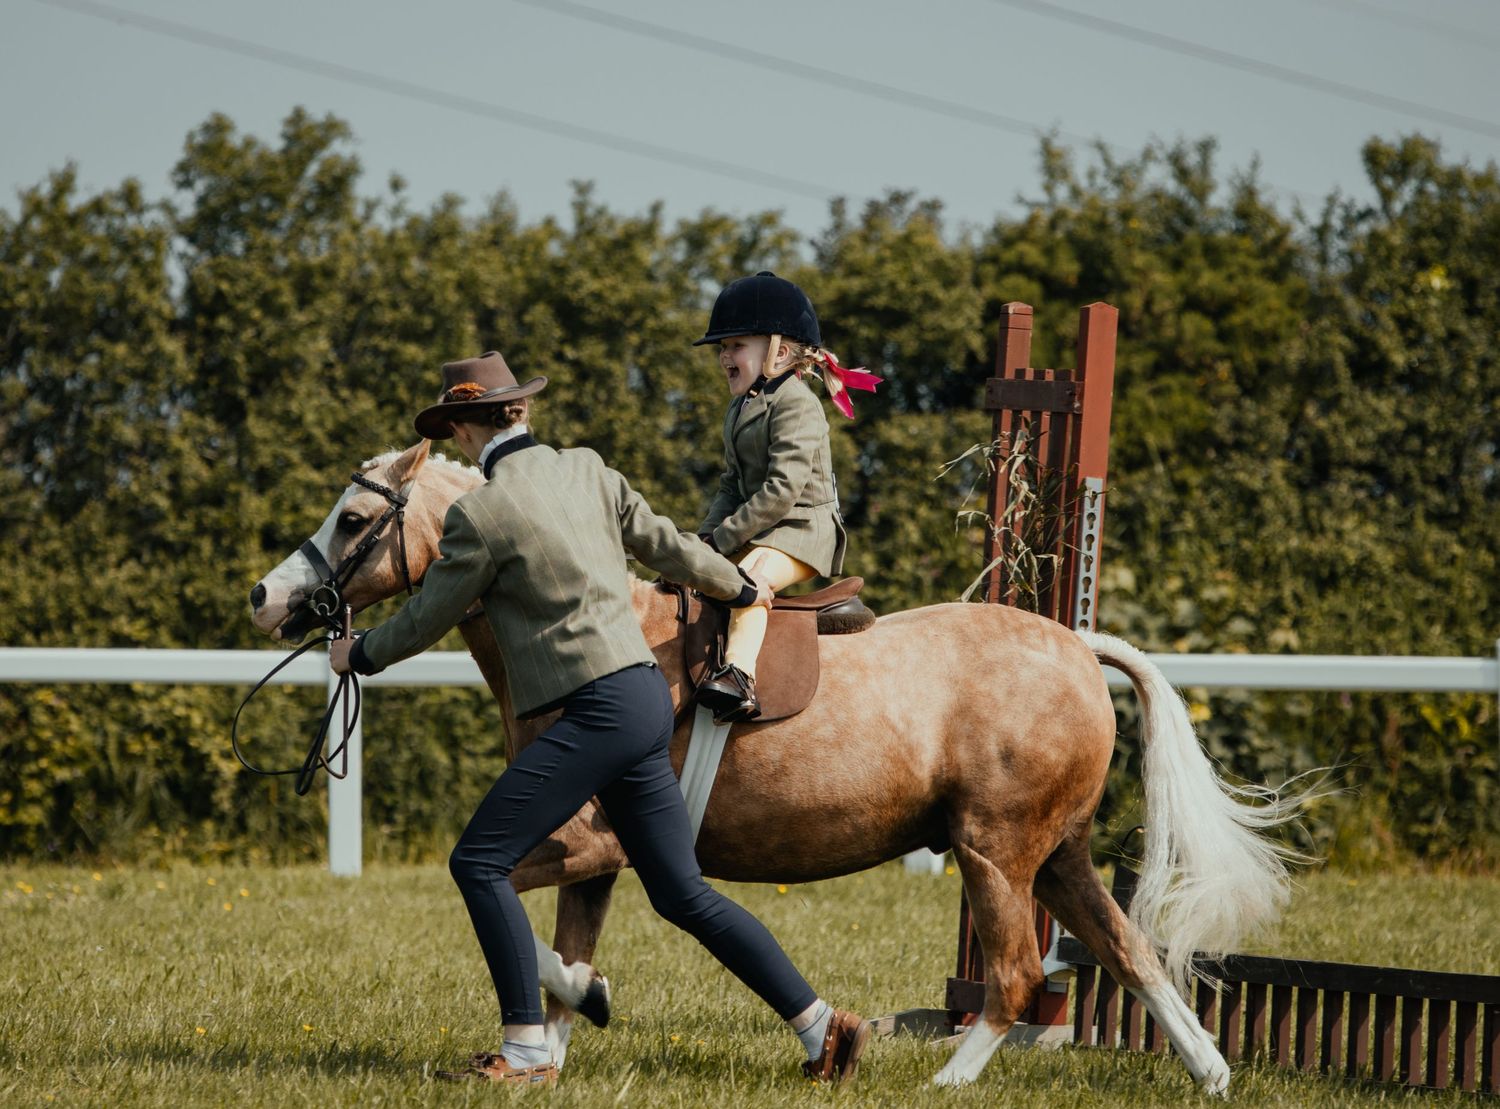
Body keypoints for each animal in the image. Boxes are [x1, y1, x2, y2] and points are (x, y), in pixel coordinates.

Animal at [249, 439, 1300, 1092]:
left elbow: (510, 908)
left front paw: (582, 1007)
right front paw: (549, 1043)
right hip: (1056, 856)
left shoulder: (587, 842)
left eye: (352, 518)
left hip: (994, 854)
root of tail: (1078, 645)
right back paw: (1210, 1072)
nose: (265, 597)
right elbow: (560, 955)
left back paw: (947, 1077)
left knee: (1009, 978)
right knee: (1130, 952)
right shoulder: (601, 858)